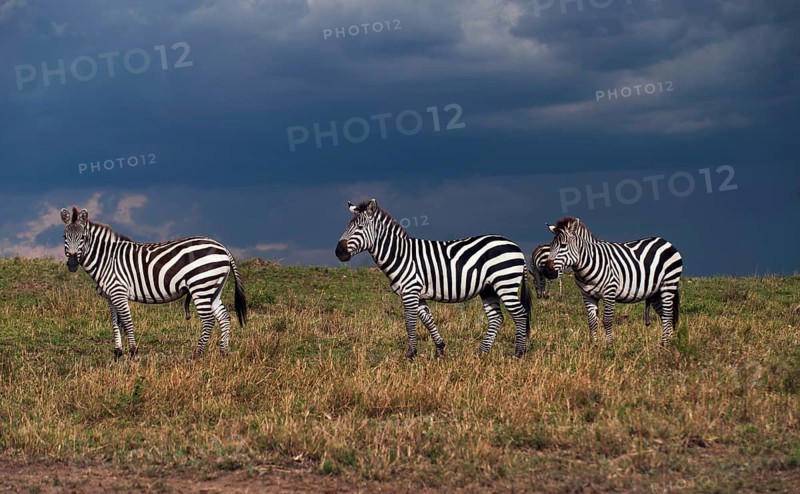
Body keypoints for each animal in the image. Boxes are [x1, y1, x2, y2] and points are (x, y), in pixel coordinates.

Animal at [60, 207, 247, 360]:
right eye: (64, 237)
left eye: (83, 238)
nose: (72, 264)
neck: (107, 259)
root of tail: (223, 248)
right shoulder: (110, 296)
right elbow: (115, 323)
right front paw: (117, 354)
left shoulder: (119, 292)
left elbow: (127, 322)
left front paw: (133, 353)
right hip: (213, 289)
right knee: (224, 317)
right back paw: (223, 353)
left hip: (200, 286)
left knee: (208, 320)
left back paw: (196, 355)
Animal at [335, 199, 531, 359]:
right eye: (347, 227)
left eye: (359, 228)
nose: (339, 252)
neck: (400, 255)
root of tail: (516, 246)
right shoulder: (418, 294)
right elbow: (427, 320)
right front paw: (440, 349)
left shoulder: (410, 291)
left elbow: (410, 322)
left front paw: (411, 355)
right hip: (488, 288)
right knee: (496, 318)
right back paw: (480, 353)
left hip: (505, 283)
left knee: (520, 314)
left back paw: (519, 353)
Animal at [542, 216, 682, 346]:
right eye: (551, 246)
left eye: (563, 246)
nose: (547, 272)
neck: (588, 262)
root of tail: (665, 241)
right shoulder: (587, 295)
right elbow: (592, 321)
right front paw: (593, 345)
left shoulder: (609, 291)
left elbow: (607, 320)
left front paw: (609, 347)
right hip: (656, 293)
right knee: (666, 317)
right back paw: (665, 345)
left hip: (668, 285)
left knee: (668, 316)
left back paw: (666, 346)